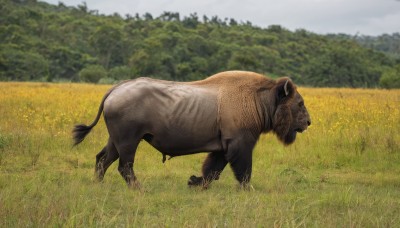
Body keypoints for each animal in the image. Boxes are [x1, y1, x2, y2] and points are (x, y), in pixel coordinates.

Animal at [74, 71, 312, 189]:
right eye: (299, 103)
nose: (308, 122)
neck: (257, 98)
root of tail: (115, 90)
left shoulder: (222, 147)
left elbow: (212, 170)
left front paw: (194, 182)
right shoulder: (240, 144)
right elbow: (243, 171)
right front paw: (247, 189)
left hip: (116, 141)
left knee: (103, 159)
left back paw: (98, 184)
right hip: (129, 141)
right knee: (124, 166)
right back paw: (138, 188)